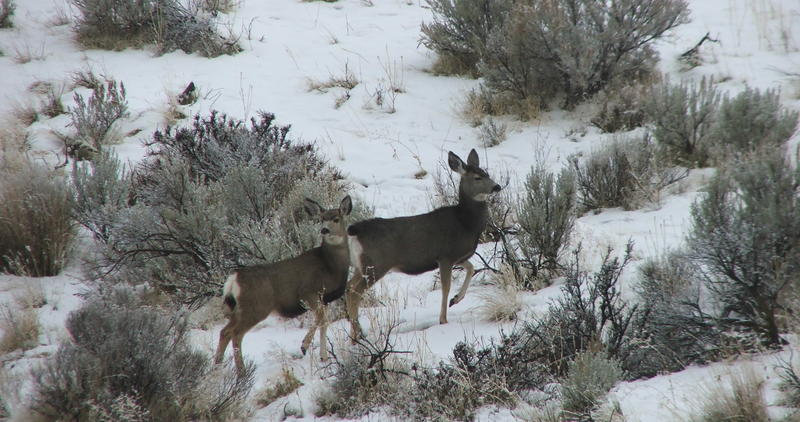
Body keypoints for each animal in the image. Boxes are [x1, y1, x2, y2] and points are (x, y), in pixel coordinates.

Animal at [214, 195, 352, 372]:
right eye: (321, 219)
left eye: (336, 219)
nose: (324, 230)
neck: (330, 266)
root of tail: (234, 279)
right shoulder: (308, 291)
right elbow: (321, 318)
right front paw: (304, 346)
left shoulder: (325, 299)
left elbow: (324, 322)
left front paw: (324, 356)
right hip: (256, 307)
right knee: (236, 334)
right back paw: (242, 371)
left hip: (238, 309)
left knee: (225, 331)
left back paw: (217, 366)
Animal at [346, 150, 500, 342]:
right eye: (478, 177)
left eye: (487, 173)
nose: (497, 187)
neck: (465, 223)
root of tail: (355, 230)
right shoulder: (445, 256)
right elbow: (446, 286)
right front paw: (443, 319)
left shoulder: (458, 257)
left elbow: (471, 268)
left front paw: (456, 299)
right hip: (376, 264)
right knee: (355, 292)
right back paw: (357, 334)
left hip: (361, 266)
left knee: (349, 287)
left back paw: (355, 332)